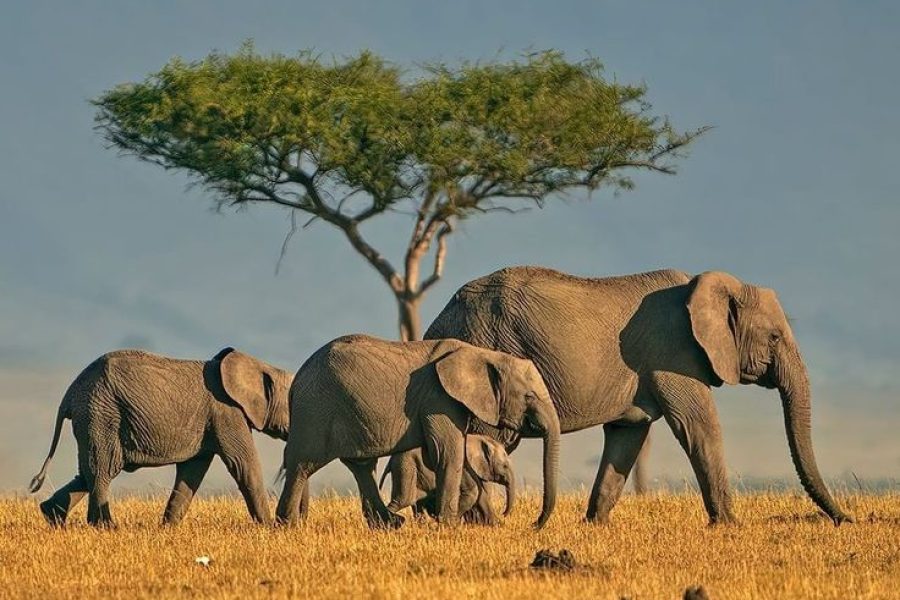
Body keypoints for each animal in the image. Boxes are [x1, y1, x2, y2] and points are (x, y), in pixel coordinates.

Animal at [29, 347, 293, 527]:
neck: (260, 366)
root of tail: (69, 395)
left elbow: (191, 473)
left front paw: (167, 528)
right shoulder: (226, 412)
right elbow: (244, 465)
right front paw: (268, 528)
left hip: (94, 417)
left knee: (88, 472)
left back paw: (51, 517)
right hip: (101, 414)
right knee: (104, 468)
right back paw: (106, 527)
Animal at [377, 434, 516, 524]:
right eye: (505, 466)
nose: (504, 514)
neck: (480, 440)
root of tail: (390, 460)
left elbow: (482, 495)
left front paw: (496, 525)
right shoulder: (463, 465)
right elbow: (473, 492)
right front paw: (451, 523)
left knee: (416, 499)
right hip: (405, 466)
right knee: (404, 499)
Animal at [424, 266, 852, 525]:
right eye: (775, 337)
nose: (845, 520)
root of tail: (439, 320)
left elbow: (627, 436)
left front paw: (594, 525)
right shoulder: (674, 353)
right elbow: (698, 425)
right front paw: (730, 526)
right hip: (487, 349)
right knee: (488, 439)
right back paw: (482, 523)